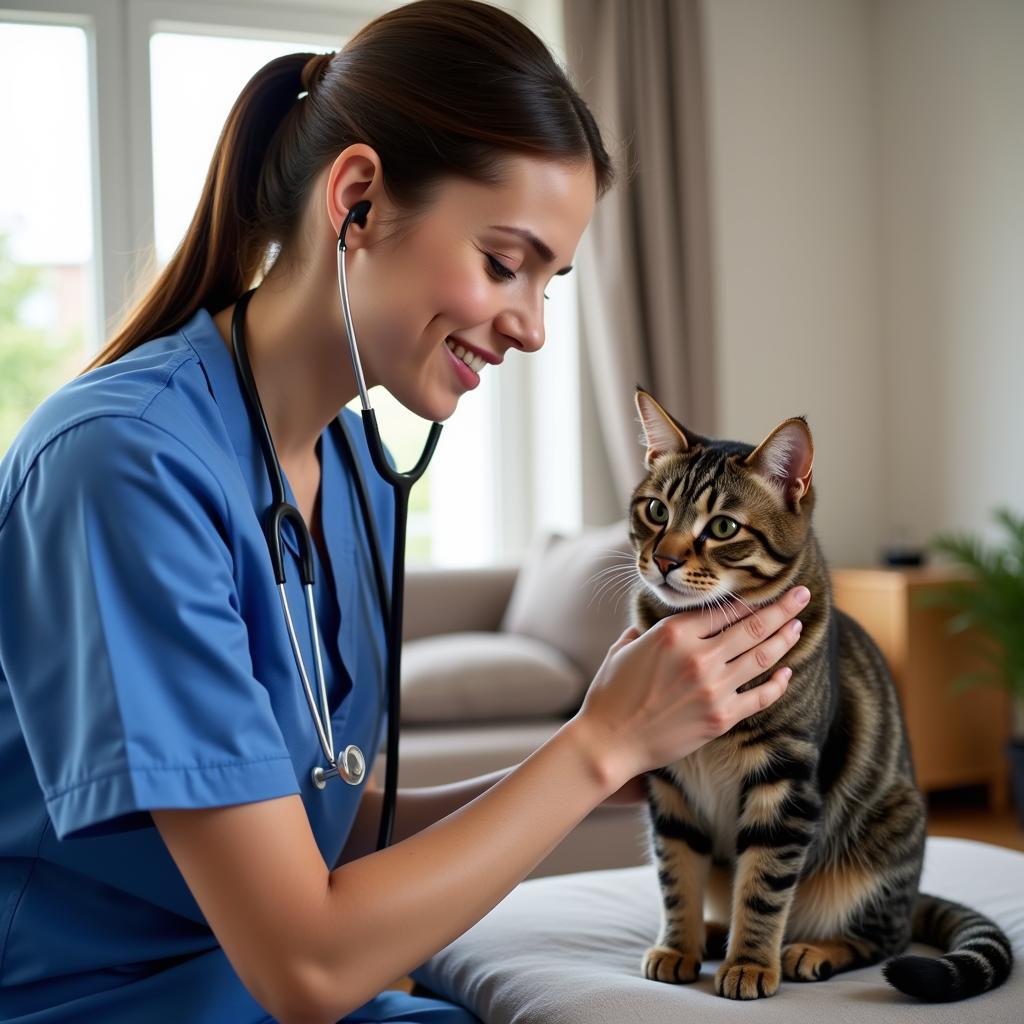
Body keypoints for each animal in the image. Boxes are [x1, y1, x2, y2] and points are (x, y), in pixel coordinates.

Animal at [626, 385, 1011, 999]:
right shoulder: (668, 783)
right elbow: (676, 874)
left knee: (884, 938)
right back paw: (712, 935)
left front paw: (750, 965)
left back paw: (810, 951)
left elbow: (762, 887)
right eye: (656, 511)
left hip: (884, 838)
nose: (664, 560)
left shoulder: (785, 778)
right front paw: (677, 947)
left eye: (723, 528)